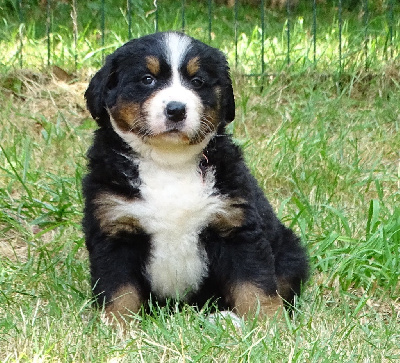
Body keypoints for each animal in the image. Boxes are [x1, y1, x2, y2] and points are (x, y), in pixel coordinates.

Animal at [83, 31, 310, 324]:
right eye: (147, 79)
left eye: (197, 81)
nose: (176, 109)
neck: (169, 162)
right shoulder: (115, 230)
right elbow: (119, 292)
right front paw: (116, 326)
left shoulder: (235, 227)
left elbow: (255, 286)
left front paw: (269, 324)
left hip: (290, 251)